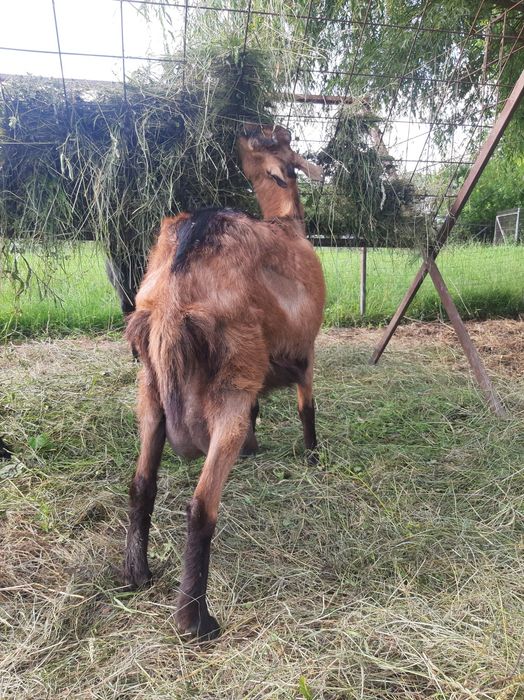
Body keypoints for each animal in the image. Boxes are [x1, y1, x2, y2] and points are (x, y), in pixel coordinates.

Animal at [124, 124, 326, 640]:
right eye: (279, 140)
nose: (246, 129)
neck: (286, 225)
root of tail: (174, 296)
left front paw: (256, 446)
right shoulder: (307, 350)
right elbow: (307, 407)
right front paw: (314, 457)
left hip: (150, 391)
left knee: (141, 483)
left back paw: (135, 573)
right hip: (228, 385)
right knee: (200, 507)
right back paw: (195, 620)